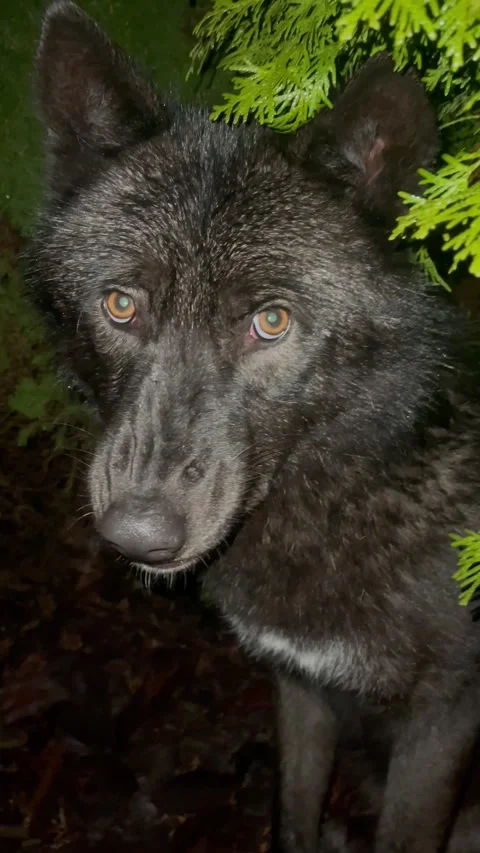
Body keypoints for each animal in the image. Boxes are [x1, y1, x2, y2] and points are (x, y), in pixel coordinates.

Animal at [26, 2, 480, 851]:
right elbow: (293, 818)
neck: (345, 489)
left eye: (271, 321)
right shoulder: (298, 687)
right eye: (121, 304)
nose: (137, 534)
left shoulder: (443, 721)